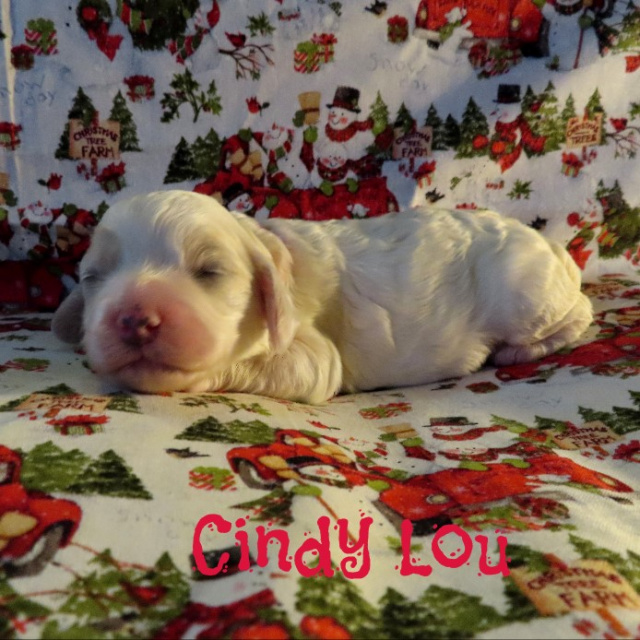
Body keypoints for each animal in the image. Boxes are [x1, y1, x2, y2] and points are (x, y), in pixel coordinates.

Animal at [52, 190, 593, 404]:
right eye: (92, 276)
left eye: (209, 270)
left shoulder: (313, 350)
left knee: (580, 312)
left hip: (525, 294)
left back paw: (518, 350)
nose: (134, 318)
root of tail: (549, 244)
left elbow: (299, 366)